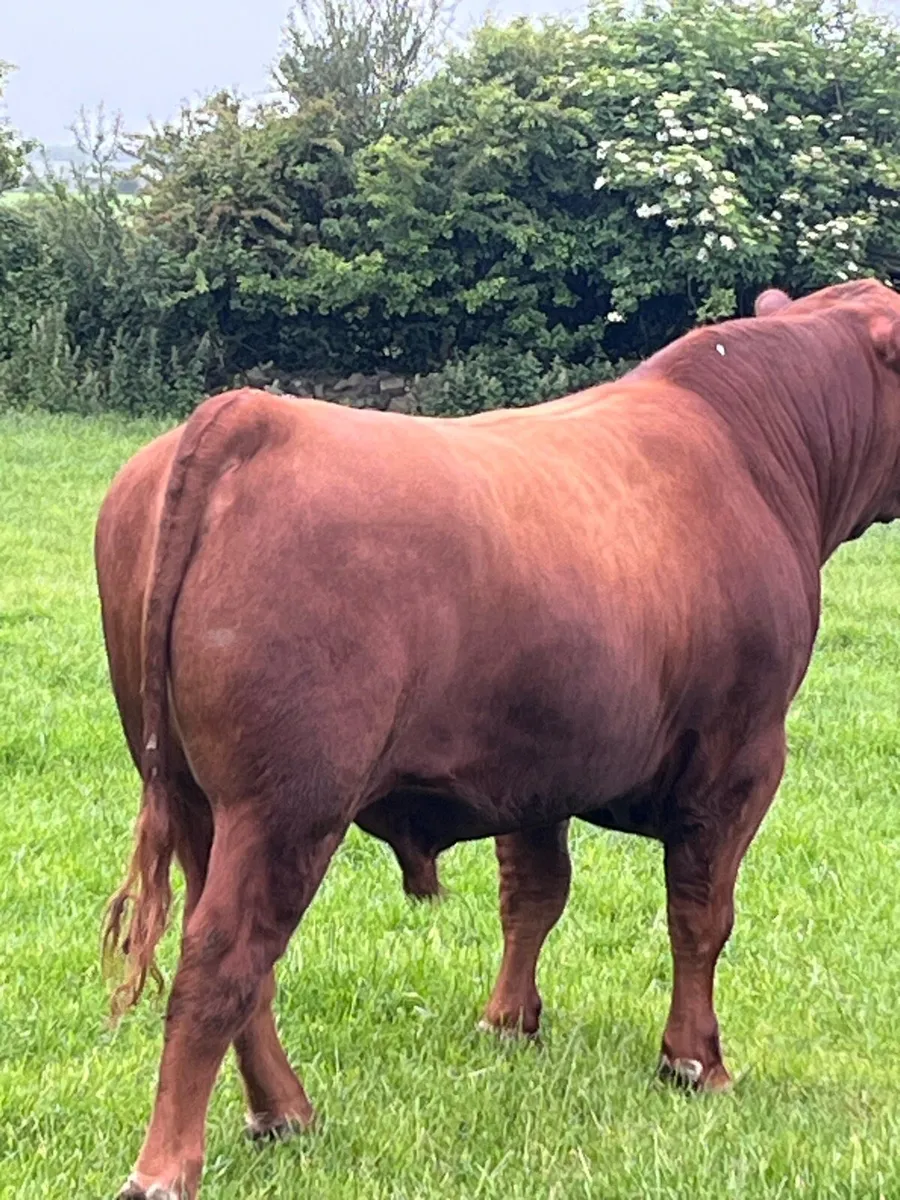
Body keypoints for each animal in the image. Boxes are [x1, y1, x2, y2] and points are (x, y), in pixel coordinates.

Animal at [95, 279, 900, 1198]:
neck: (757, 449)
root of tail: (249, 415)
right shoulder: (742, 758)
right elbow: (701, 914)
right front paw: (695, 1062)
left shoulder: (534, 763)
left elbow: (535, 894)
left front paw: (509, 1023)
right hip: (286, 805)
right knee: (224, 958)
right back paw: (170, 1164)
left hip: (196, 798)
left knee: (239, 962)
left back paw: (287, 1113)